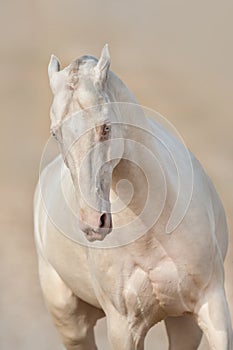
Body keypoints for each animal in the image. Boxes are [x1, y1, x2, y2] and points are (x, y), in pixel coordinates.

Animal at [33, 45, 232, 348]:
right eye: (56, 133)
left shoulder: (210, 308)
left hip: (182, 322)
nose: (93, 223)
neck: (154, 229)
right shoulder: (124, 327)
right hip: (71, 323)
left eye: (105, 127)